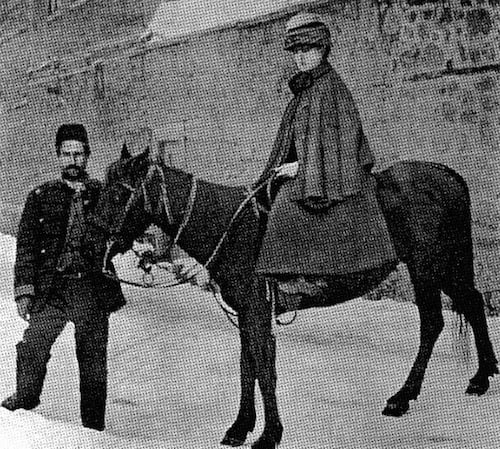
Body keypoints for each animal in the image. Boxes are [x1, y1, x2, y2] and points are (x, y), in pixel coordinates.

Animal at [92, 148, 498, 448]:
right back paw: (481, 376)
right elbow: (247, 367)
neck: (232, 226)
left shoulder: (257, 311)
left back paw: (404, 396)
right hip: (444, 265)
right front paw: (240, 427)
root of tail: (447, 175)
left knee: (434, 321)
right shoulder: (247, 312)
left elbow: (264, 369)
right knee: (473, 302)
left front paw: (269, 434)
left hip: (427, 266)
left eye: (120, 192)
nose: (96, 241)